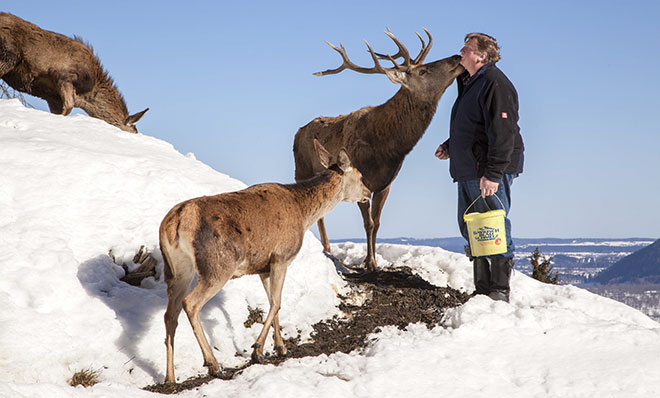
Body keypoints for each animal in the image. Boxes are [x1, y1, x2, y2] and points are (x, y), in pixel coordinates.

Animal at [0, 12, 147, 134]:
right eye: (133, 132)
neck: (85, 95)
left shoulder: (52, 96)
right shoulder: (64, 78)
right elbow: (68, 108)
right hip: (9, 55)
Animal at [158, 140, 368, 382]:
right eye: (360, 176)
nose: (368, 192)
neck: (304, 213)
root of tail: (176, 220)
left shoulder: (263, 267)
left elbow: (271, 301)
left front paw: (280, 347)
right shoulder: (281, 256)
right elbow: (277, 302)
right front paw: (258, 350)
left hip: (178, 268)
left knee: (169, 314)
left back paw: (170, 376)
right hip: (217, 266)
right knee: (190, 303)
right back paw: (213, 364)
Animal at [294, 28, 464, 270]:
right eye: (423, 71)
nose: (457, 57)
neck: (386, 148)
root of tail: (298, 132)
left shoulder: (386, 184)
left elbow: (378, 222)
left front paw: (372, 260)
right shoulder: (360, 180)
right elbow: (368, 223)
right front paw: (371, 262)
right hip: (301, 170)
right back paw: (326, 248)